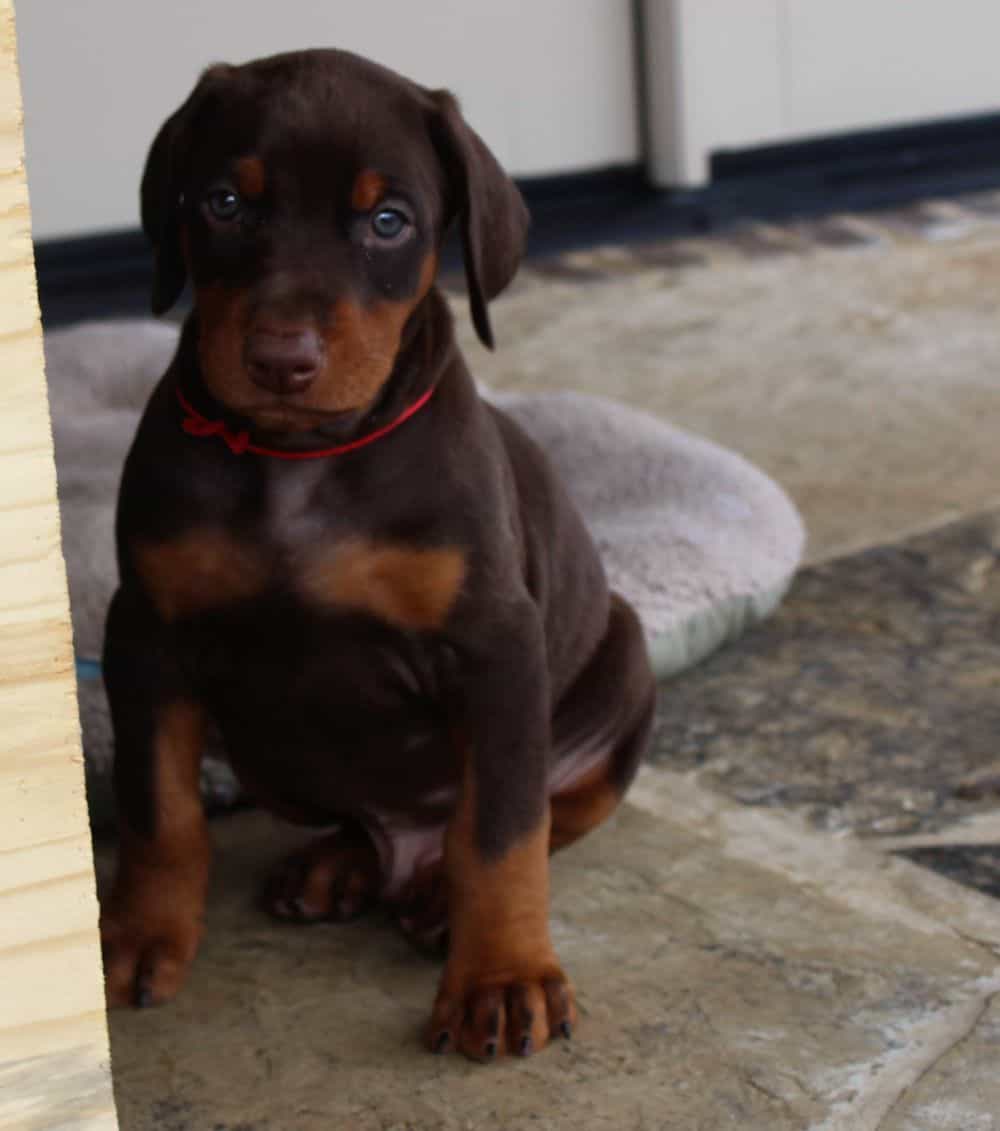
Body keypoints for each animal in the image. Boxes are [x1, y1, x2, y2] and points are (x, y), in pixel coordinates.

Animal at [101, 48, 656, 1058]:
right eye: (223, 204)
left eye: (388, 220)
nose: (282, 357)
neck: (298, 460)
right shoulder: (146, 628)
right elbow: (158, 807)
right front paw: (138, 934)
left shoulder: (496, 643)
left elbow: (504, 830)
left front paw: (503, 974)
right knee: (362, 826)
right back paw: (341, 864)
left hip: (623, 661)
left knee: (545, 810)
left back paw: (435, 897)